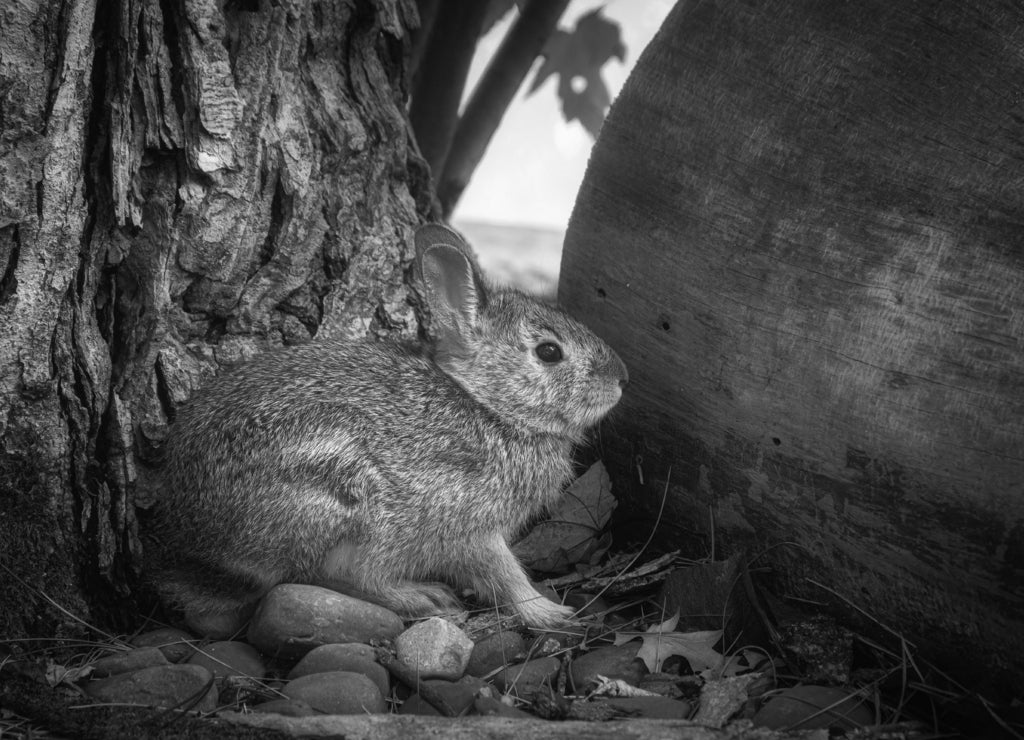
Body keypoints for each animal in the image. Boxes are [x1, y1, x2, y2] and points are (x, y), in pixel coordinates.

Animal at [141, 223, 626, 634]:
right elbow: (503, 573)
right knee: (325, 578)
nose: (621, 379)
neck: (489, 407)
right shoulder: (470, 525)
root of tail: (188, 526)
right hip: (336, 498)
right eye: (549, 352)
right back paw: (421, 596)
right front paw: (550, 613)